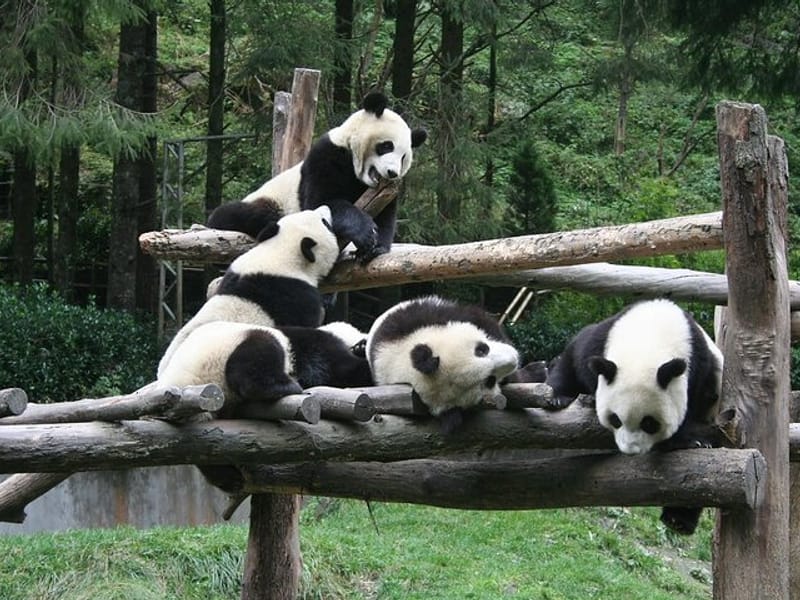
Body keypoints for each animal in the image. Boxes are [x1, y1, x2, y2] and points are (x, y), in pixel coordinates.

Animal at [208, 91, 427, 262]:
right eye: (386, 146)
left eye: (403, 157)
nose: (392, 173)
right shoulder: (326, 156)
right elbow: (321, 202)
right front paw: (365, 232)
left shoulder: (386, 191)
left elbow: (385, 216)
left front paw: (375, 248)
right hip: (271, 200)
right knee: (234, 214)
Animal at [545, 298, 724, 534]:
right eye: (615, 419)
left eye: (649, 423)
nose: (630, 450)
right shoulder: (600, 338)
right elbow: (574, 358)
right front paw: (558, 397)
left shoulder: (701, 368)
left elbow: (694, 407)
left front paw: (689, 440)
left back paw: (678, 520)